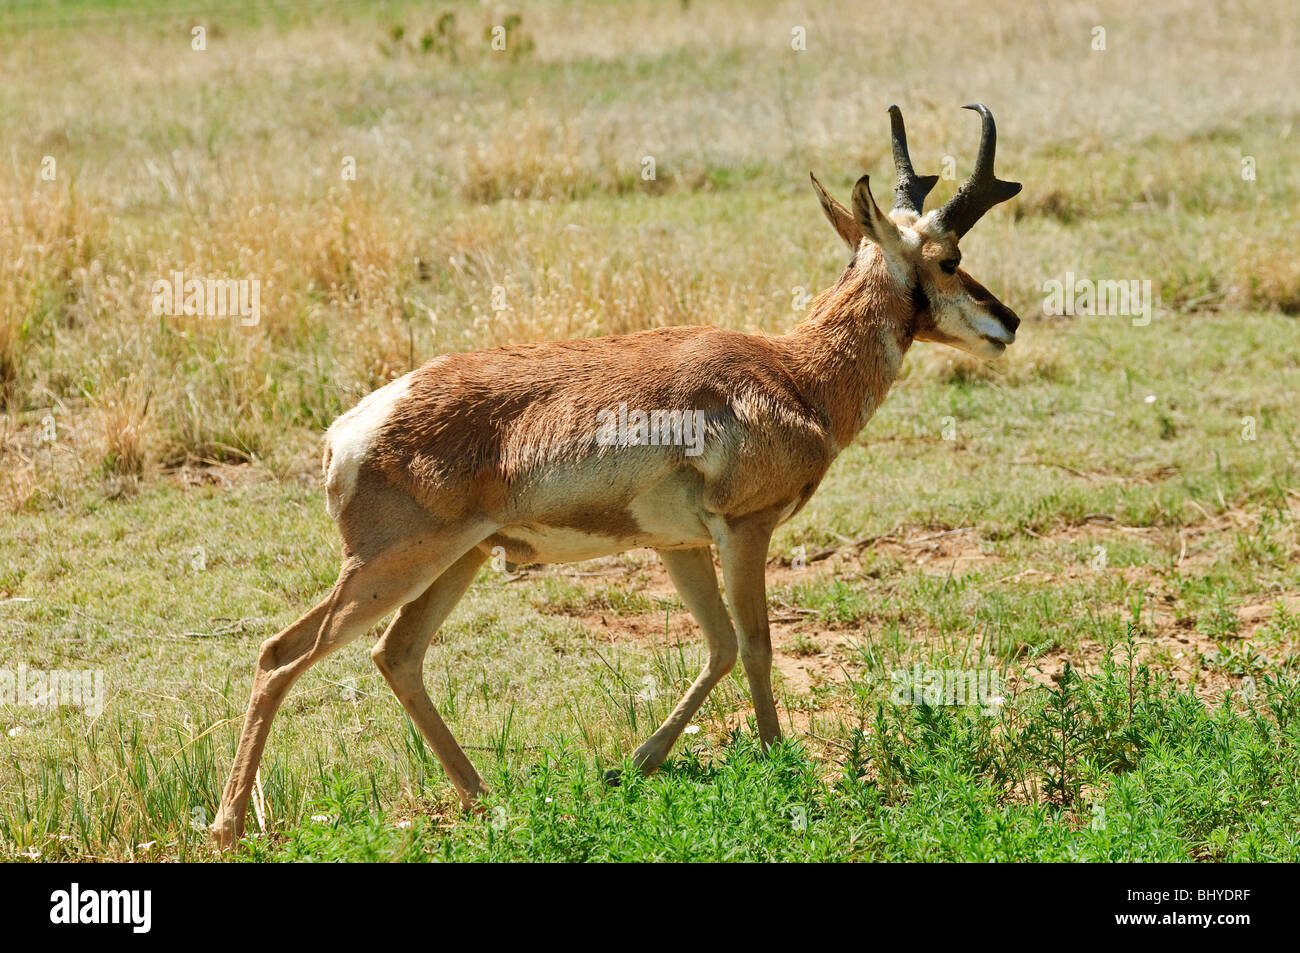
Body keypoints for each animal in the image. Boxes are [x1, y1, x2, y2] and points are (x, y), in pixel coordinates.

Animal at [211, 103, 1023, 848]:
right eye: (949, 258)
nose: (1008, 321)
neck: (793, 373)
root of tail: (350, 427)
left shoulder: (678, 546)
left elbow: (719, 645)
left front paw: (632, 765)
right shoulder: (744, 530)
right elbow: (758, 645)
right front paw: (781, 769)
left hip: (453, 563)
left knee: (395, 655)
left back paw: (486, 800)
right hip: (395, 565)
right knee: (283, 655)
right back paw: (228, 828)